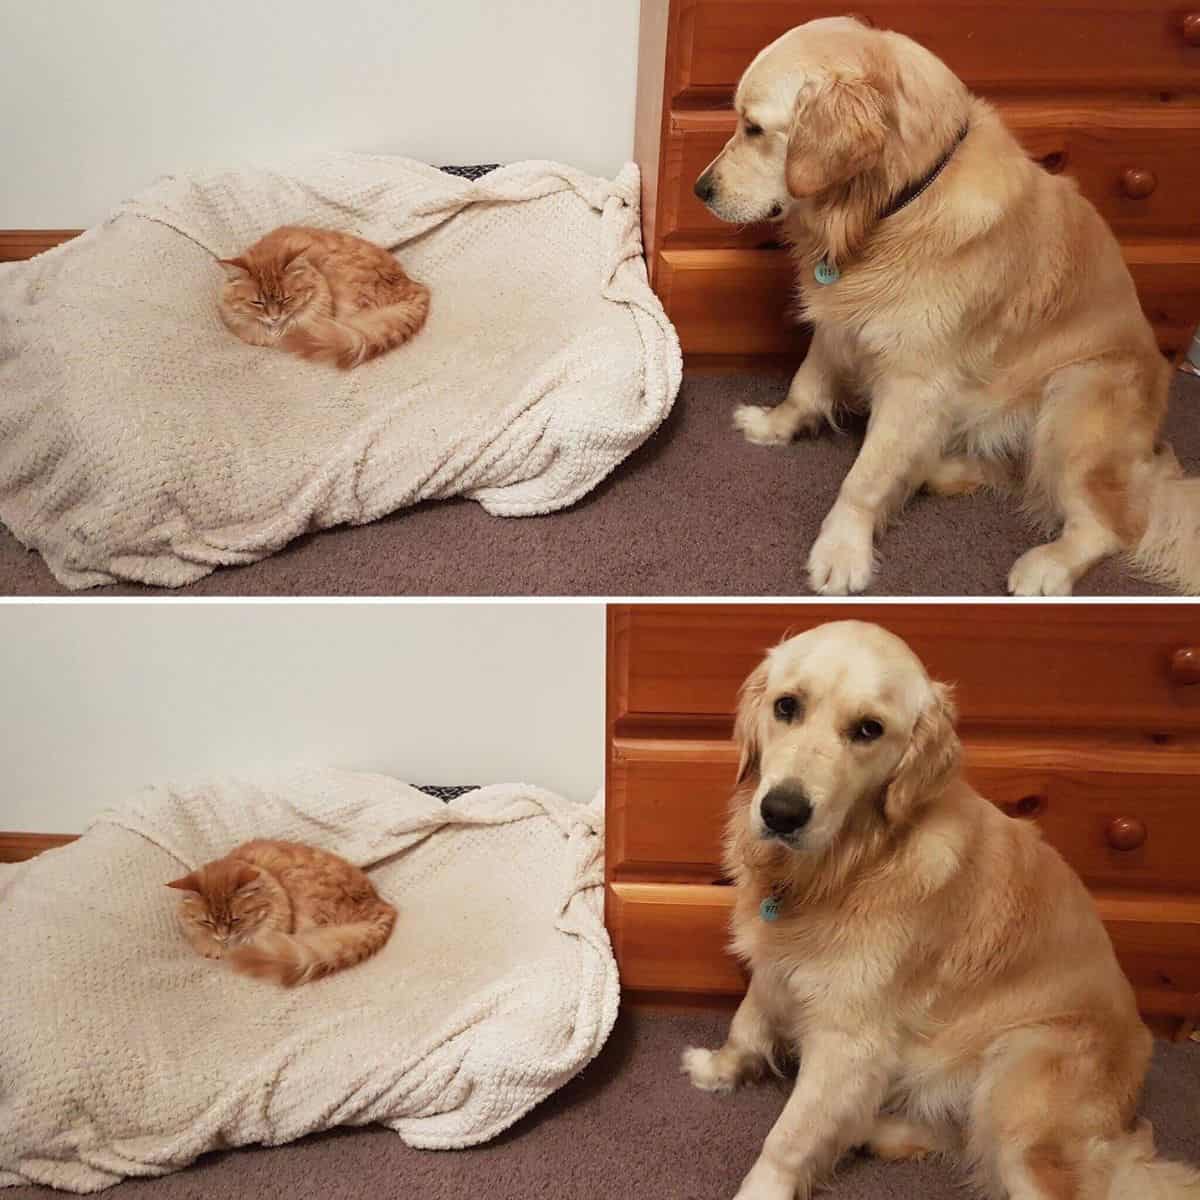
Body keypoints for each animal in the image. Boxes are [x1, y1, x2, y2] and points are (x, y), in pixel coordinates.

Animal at [686, 624, 1200, 1195]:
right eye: (786, 706)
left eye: (868, 729)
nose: (781, 812)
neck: (851, 862)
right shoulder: (777, 964)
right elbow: (748, 1020)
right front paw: (720, 1068)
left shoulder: (851, 1042)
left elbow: (788, 1138)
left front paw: (763, 1186)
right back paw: (874, 1130)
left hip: (1019, 1094)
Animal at [691, 19, 1195, 595]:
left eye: (754, 129)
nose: (700, 189)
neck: (889, 211)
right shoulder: (840, 321)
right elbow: (806, 386)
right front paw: (775, 425)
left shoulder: (917, 381)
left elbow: (864, 479)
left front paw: (842, 550)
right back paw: (932, 471)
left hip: (1076, 397)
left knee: (1112, 525)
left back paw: (1045, 566)